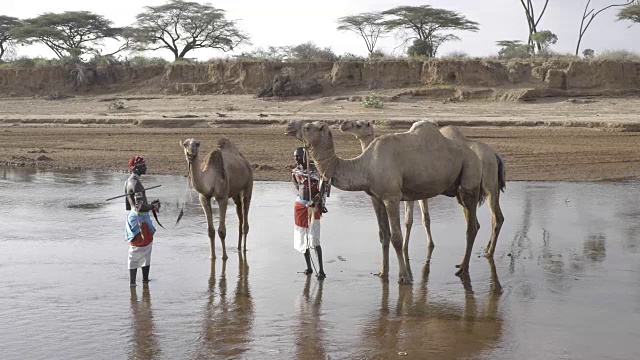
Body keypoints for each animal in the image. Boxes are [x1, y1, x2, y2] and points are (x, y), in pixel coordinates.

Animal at [284, 119, 480, 282]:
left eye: (307, 127)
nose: (289, 126)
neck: (366, 166)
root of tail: (474, 153)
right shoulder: (376, 198)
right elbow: (383, 235)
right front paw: (382, 272)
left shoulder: (391, 197)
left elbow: (396, 238)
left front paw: (404, 277)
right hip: (458, 189)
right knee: (473, 223)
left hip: (470, 175)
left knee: (471, 228)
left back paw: (463, 269)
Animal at [340, 119, 504, 258]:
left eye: (359, 125)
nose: (343, 124)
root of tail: (495, 154)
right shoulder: (417, 192)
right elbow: (419, 219)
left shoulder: (413, 192)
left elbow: (415, 220)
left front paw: (413, 248)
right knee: (480, 219)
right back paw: (486, 248)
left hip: (488, 185)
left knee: (496, 216)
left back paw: (489, 252)